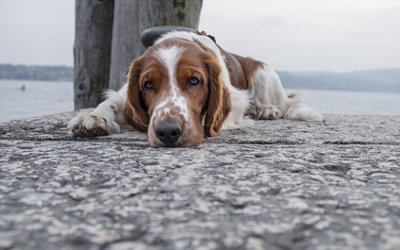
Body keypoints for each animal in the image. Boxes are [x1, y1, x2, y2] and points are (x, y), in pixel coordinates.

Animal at [67, 29, 324, 146]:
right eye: (148, 84)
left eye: (194, 81)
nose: (167, 132)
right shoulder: (125, 93)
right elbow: (110, 102)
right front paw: (92, 118)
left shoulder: (237, 100)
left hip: (262, 72)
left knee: (287, 103)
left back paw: (268, 110)